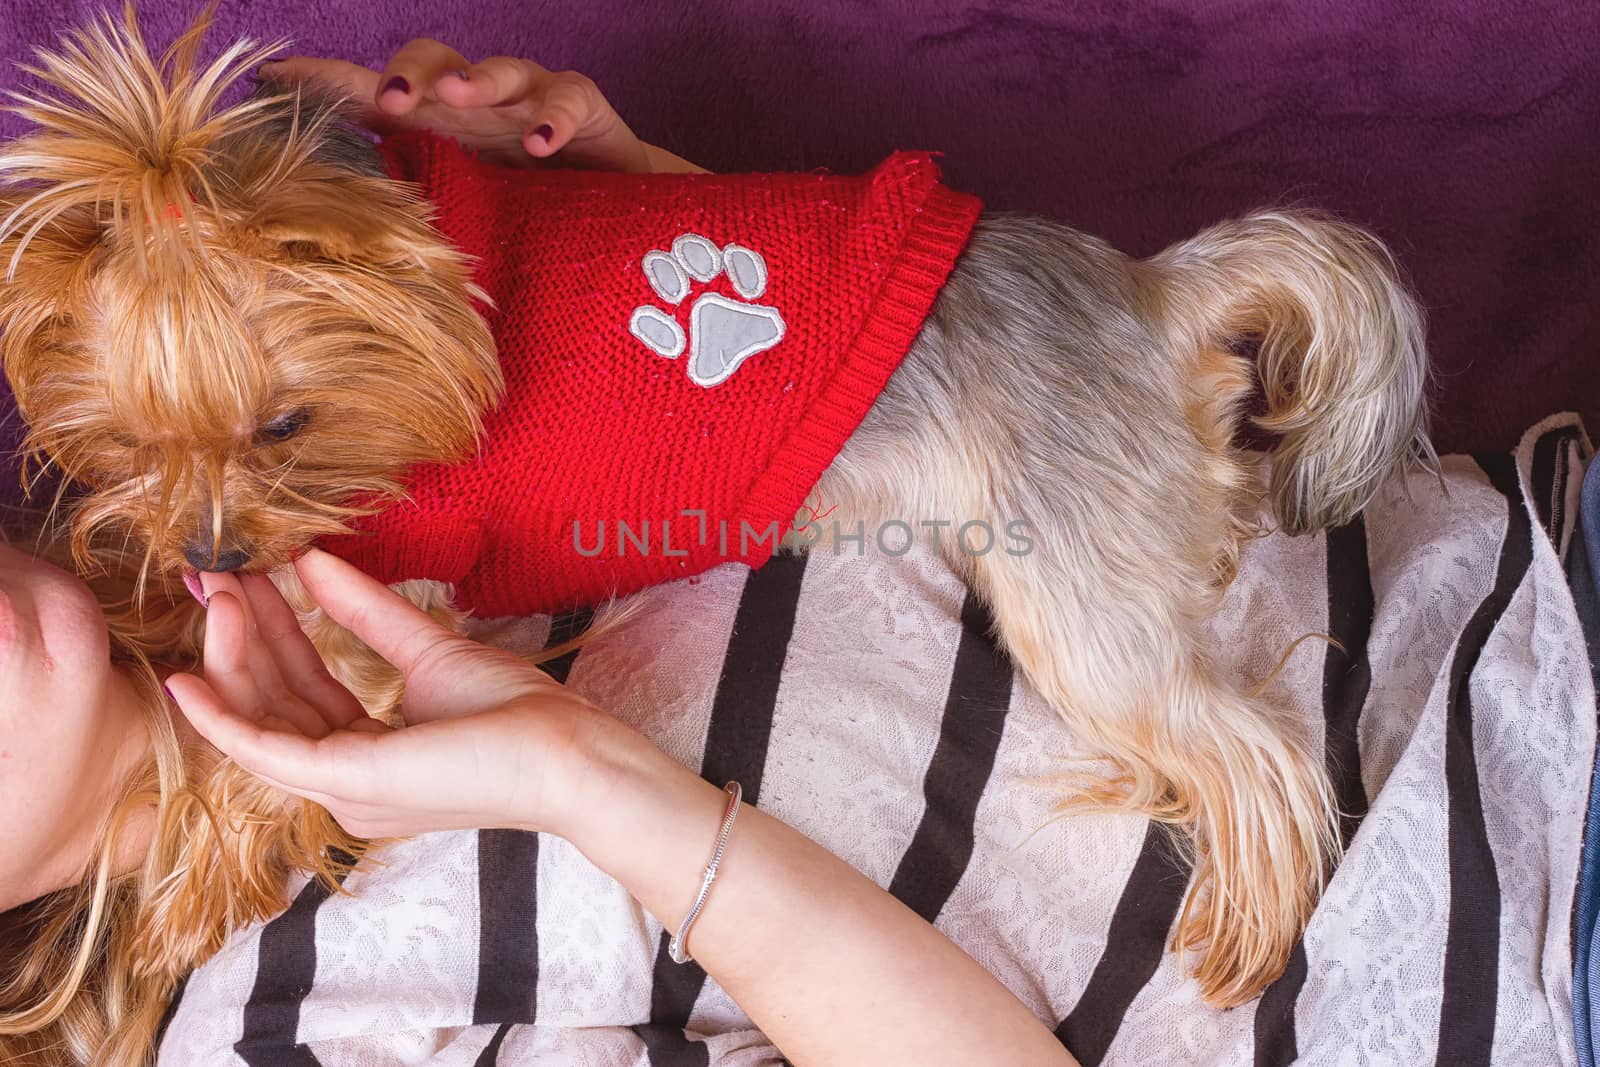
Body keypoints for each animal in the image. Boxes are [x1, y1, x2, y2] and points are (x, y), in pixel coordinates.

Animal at [0, 10, 1427, 1011]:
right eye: (125, 441)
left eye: (285, 427)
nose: (213, 552)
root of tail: (1151, 291)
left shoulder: (389, 580)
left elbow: (264, 734)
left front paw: (187, 881)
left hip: (1077, 593)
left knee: (1254, 751)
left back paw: (1243, 925)